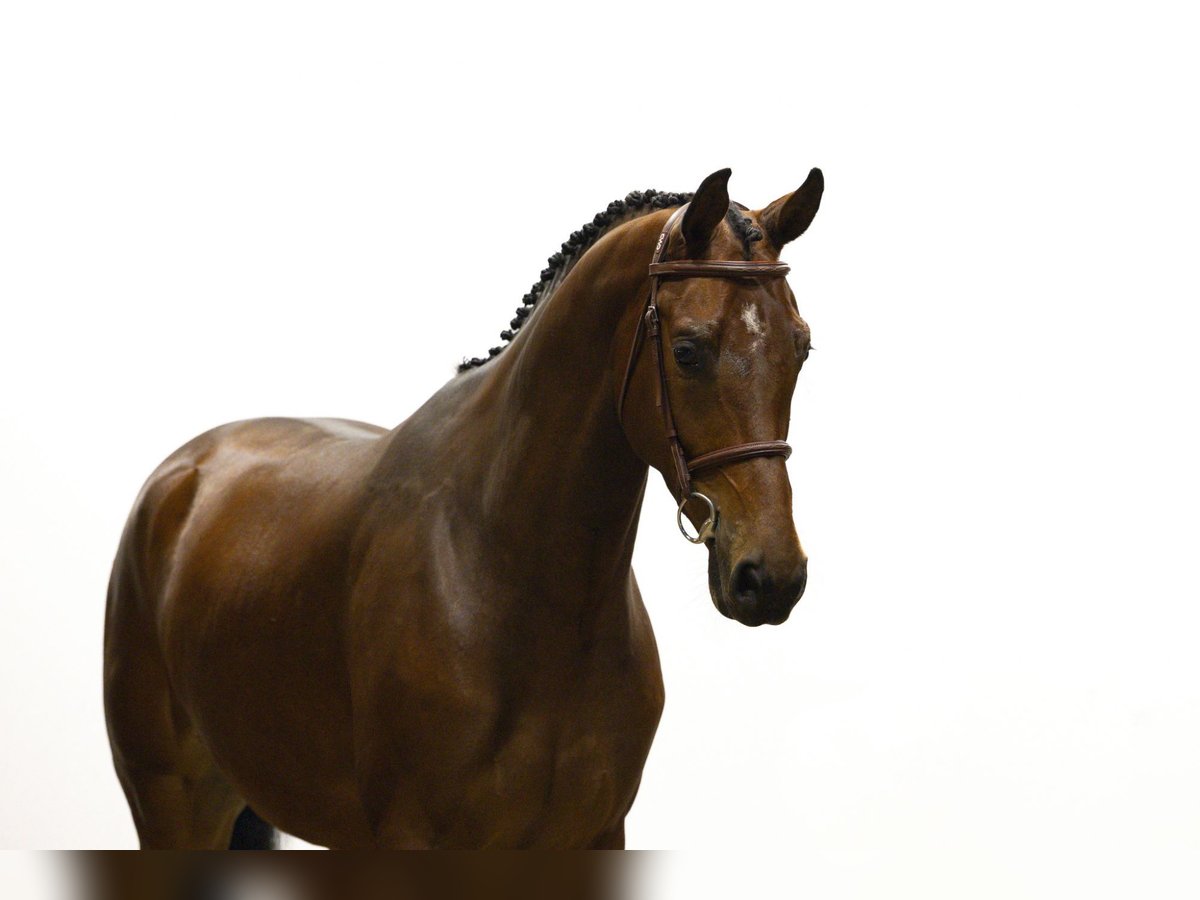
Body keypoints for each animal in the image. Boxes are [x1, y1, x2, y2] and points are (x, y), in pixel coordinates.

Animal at [103, 167, 824, 849]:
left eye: (801, 347)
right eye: (687, 350)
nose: (771, 576)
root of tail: (181, 477)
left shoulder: (595, 834)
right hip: (172, 806)